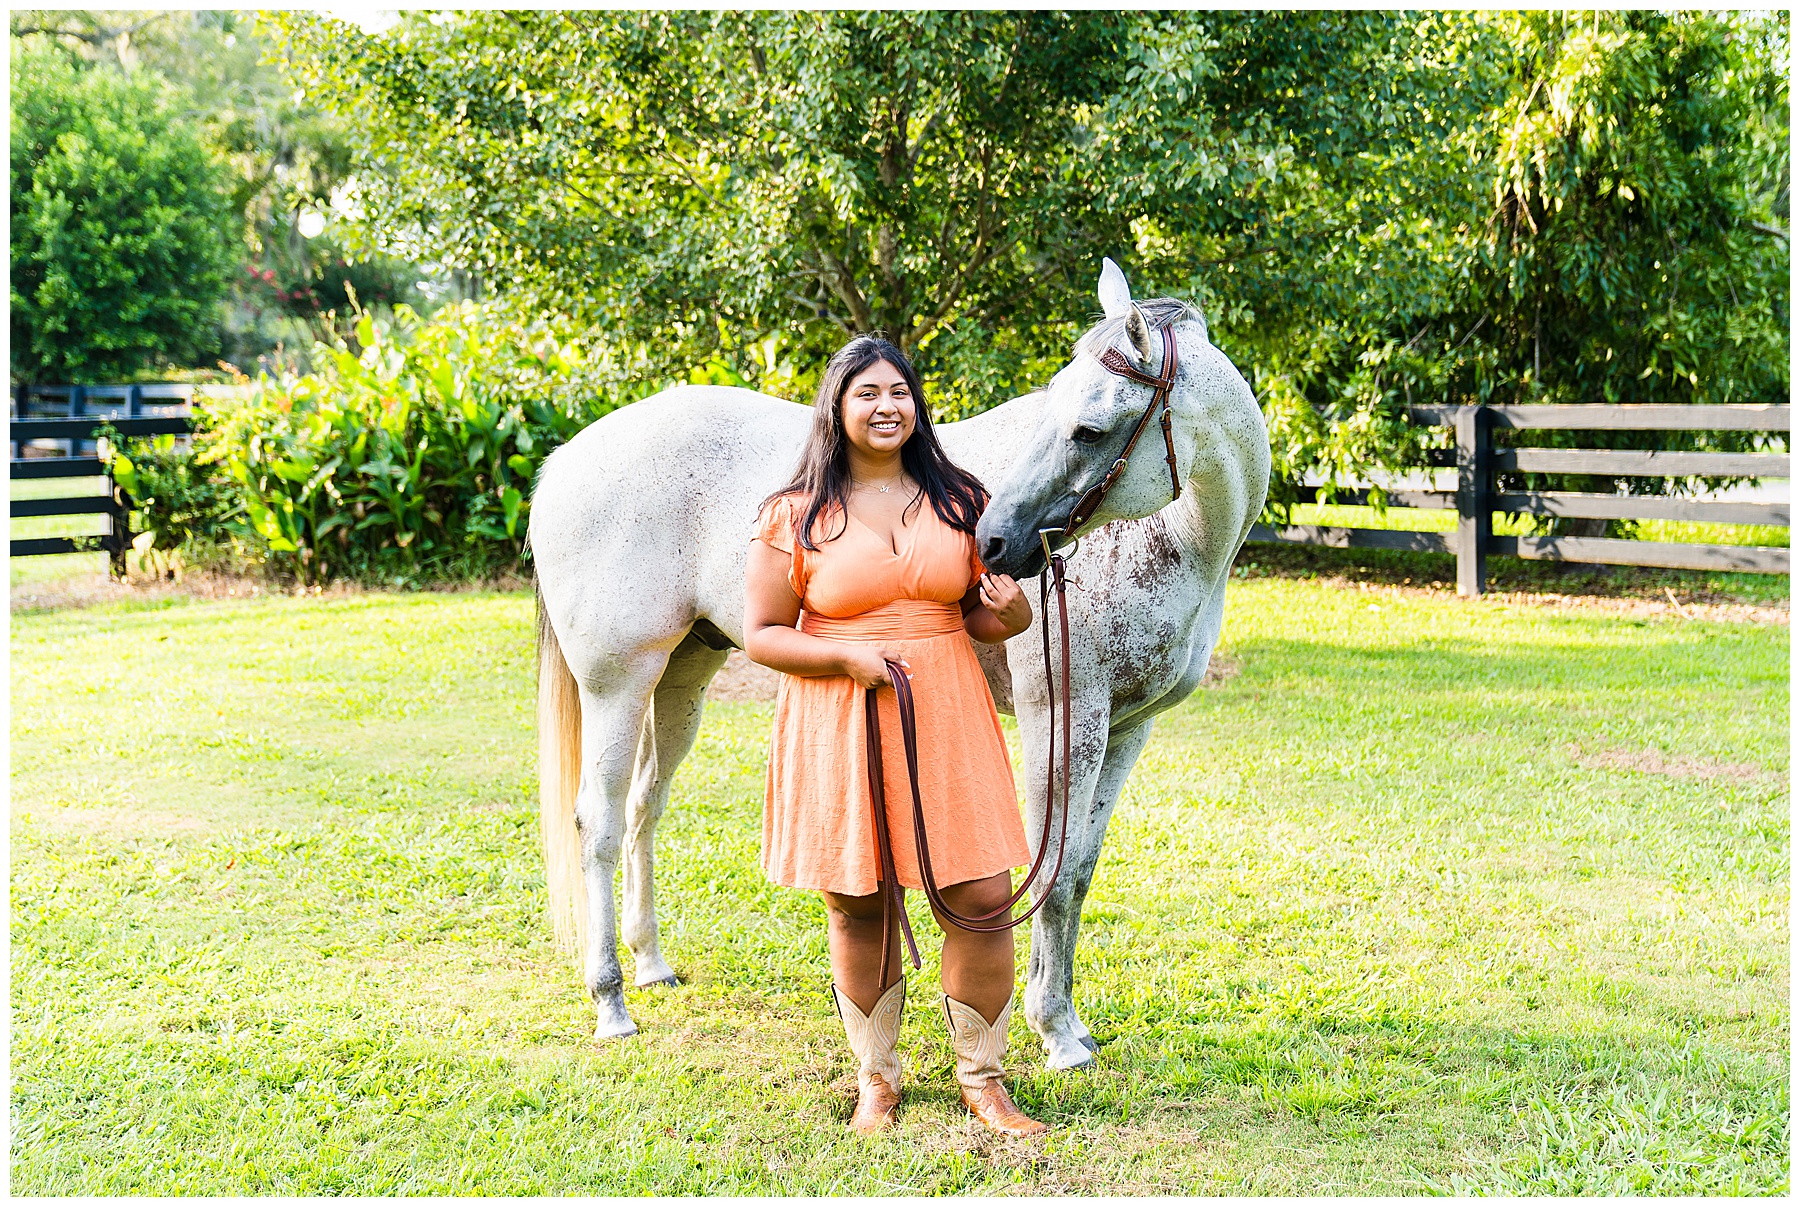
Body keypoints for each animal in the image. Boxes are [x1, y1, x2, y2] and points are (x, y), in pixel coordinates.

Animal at [529, 262, 1267, 1064]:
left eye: (1088, 428)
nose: (993, 540)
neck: (1175, 538)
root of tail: (564, 461)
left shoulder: (1129, 728)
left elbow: (1078, 874)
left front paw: (1070, 1023)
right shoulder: (1063, 720)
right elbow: (1054, 870)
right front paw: (1053, 1029)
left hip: (682, 679)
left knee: (643, 808)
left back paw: (652, 965)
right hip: (619, 683)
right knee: (599, 822)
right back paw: (611, 1001)